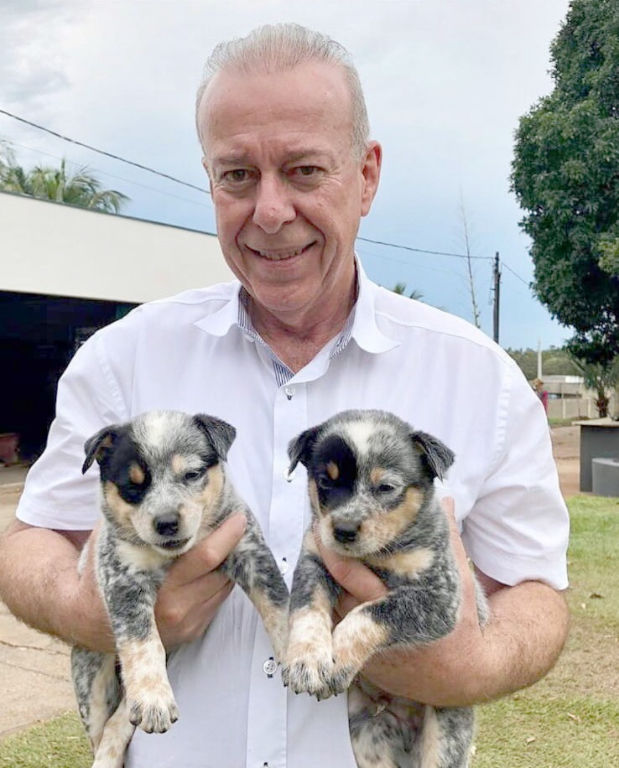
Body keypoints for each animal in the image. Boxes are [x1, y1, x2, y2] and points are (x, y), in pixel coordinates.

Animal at [71, 412, 290, 768]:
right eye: (132, 485)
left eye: (192, 473)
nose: (166, 522)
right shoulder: (122, 575)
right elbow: (142, 642)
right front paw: (152, 697)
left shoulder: (248, 548)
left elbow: (278, 605)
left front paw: (305, 657)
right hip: (90, 683)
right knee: (104, 726)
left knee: (121, 719)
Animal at [282, 412, 490, 768]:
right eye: (325, 480)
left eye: (386, 487)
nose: (344, 530)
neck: (375, 555)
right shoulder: (314, 559)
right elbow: (307, 611)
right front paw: (306, 660)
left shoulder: (439, 599)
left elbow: (369, 613)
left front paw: (338, 658)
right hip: (367, 736)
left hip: (445, 736)